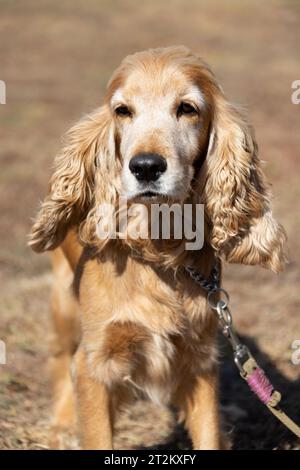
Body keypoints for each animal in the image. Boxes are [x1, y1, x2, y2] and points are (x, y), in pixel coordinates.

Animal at [29, 46, 284, 450]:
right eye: (122, 110)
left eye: (187, 108)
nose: (146, 166)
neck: (158, 248)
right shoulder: (95, 363)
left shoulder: (200, 362)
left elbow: (209, 433)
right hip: (63, 302)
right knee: (60, 356)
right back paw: (63, 422)